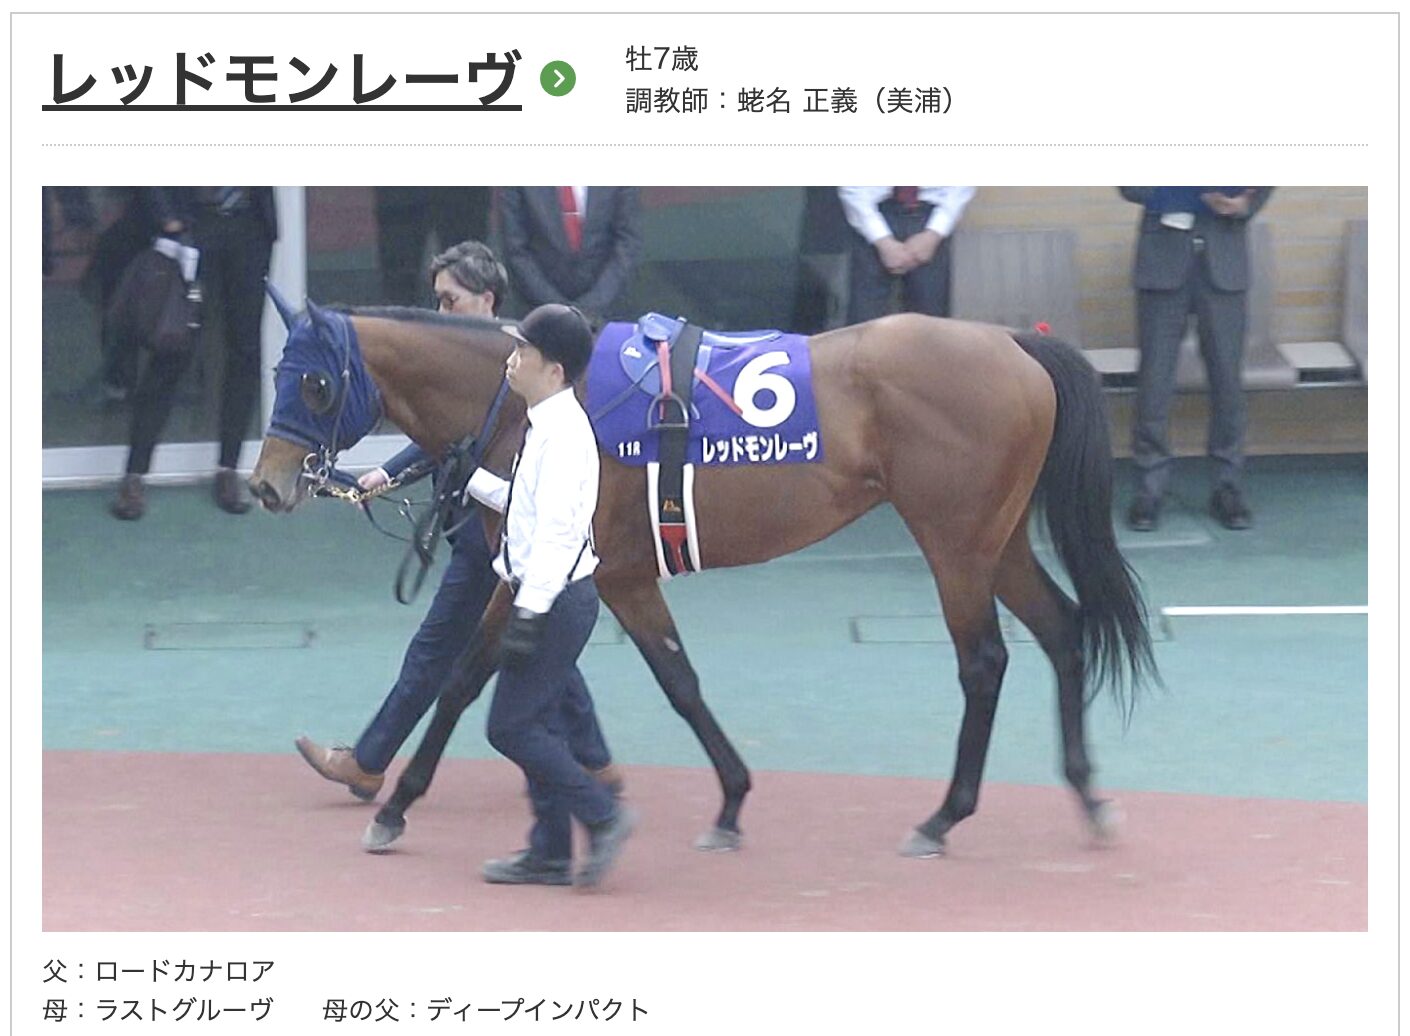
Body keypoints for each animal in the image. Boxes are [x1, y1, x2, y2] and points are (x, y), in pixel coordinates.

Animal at [250, 291, 1157, 858]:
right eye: (275, 374)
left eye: (316, 382)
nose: (266, 483)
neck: (535, 404)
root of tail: (1013, 342)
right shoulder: (602, 576)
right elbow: (673, 681)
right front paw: (729, 801)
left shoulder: (575, 568)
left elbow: (470, 678)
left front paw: (397, 806)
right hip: (994, 542)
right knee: (1063, 629)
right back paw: (1088, 796)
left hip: (955, 543)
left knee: (985, 663)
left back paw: (943, 819)